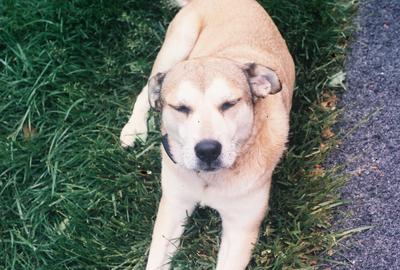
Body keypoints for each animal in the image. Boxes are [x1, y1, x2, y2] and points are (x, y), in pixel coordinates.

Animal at [119, 0, 294, 268]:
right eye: (180, 108)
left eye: (230, 103)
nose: (208, 150)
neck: (209, 180)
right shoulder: (174, 207)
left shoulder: (241, 228)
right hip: (176, 46)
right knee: (146, 89)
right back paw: (134, 128)